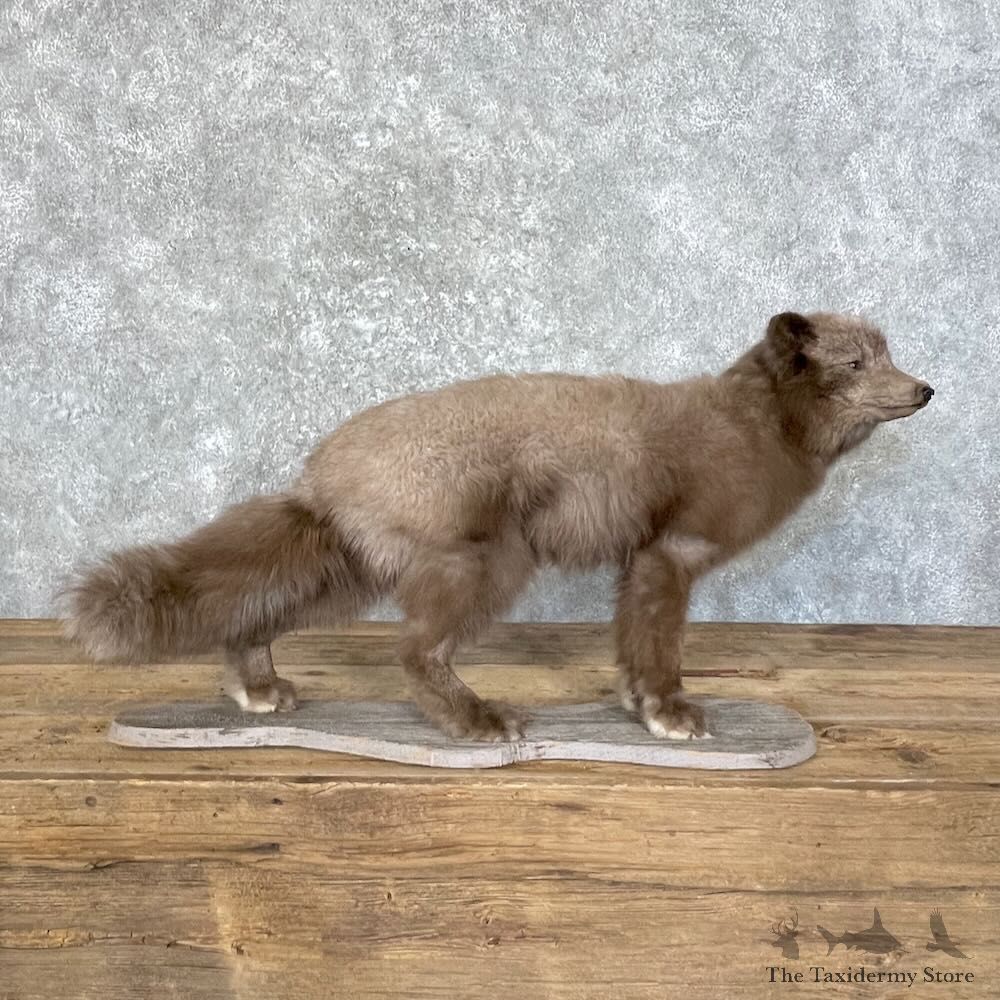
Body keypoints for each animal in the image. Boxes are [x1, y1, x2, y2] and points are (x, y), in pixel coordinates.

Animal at [62, 311, 933, 742]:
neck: (755, 427)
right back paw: (479, 723)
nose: (925, 388)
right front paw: (667, 716)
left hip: (357, 570)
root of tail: (322, 469)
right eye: (856, 365)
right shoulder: (670, 554)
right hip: (484, 567)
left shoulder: (640, 562)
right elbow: (659, 650)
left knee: (254, 617)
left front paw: (633, 708)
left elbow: (631, 646)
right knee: (413, 653)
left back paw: (260, 694)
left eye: (890, 354)